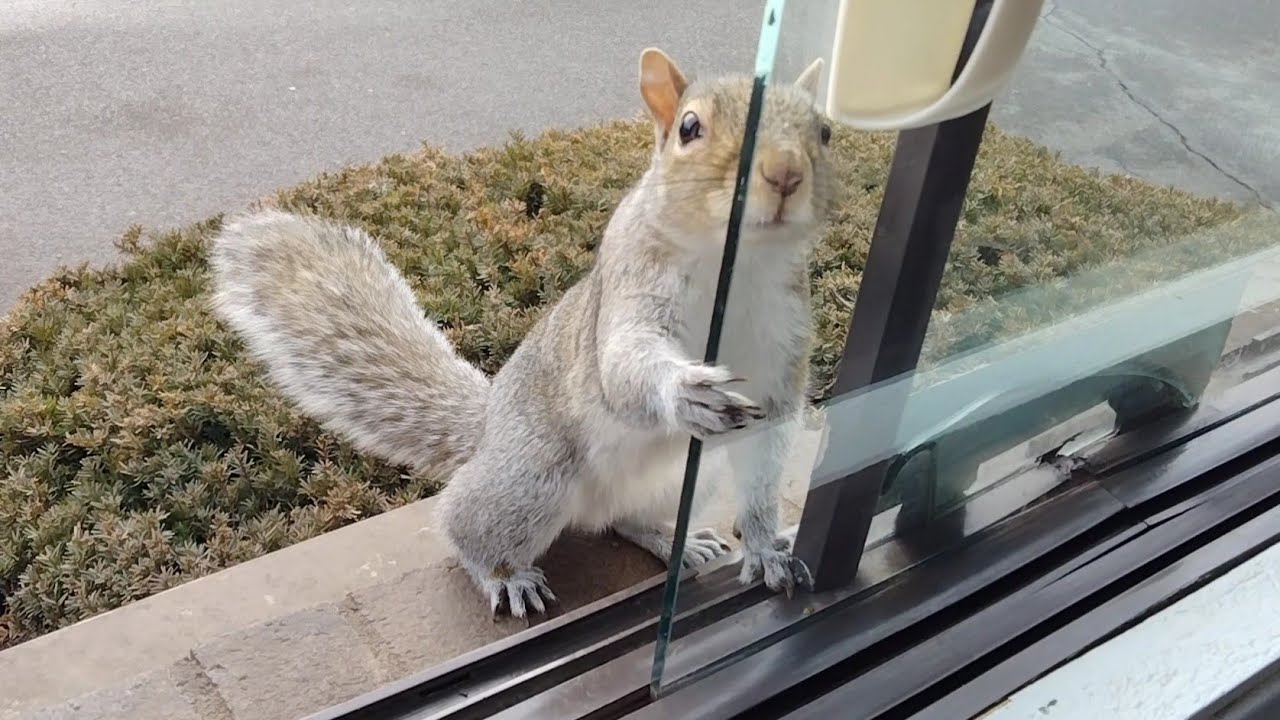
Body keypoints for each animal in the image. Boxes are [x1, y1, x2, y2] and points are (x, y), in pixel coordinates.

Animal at [209, 48, 835, 618]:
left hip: (686, 477)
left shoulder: (782, 349)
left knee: (625, 520)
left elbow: (766, 458)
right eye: (689, 128)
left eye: (825, 131)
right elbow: (624, 366)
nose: (784, 173)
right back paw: (504, 575)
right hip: (532, 477)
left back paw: (670, 539)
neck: (738, 265)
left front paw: (768, 549)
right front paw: (685, 392)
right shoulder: (631, 288)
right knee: (463, 523)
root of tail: (489, 428)